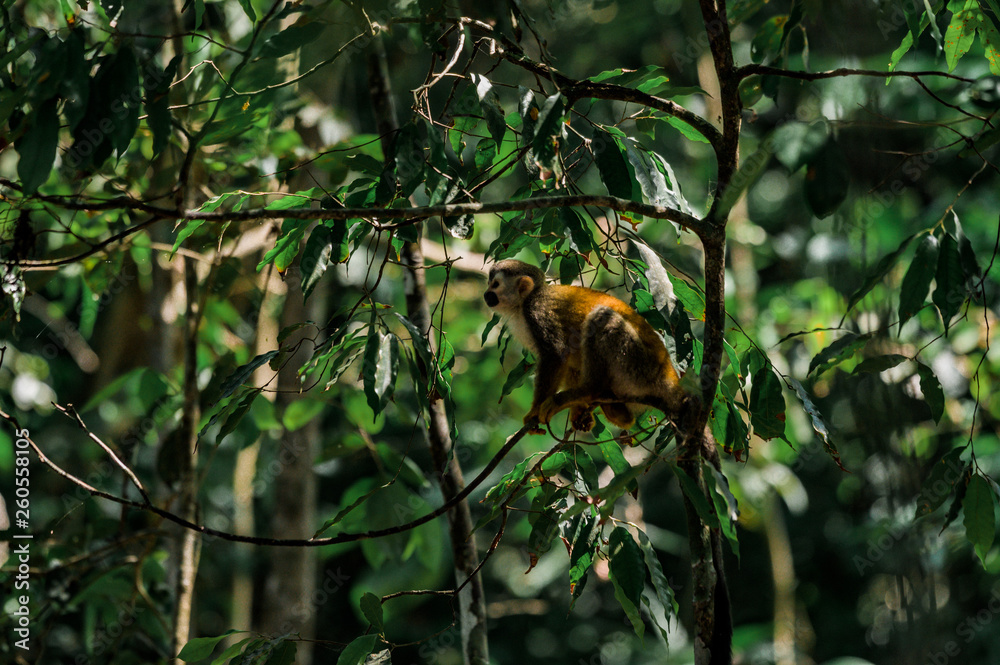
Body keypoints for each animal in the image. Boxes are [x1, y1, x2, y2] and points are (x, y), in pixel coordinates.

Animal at [483, 259, 686, 433]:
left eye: (496, 285)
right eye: (489, 283)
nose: (486, 294)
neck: (524, 301)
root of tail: (669, 376)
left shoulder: (536, 311)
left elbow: (556, 354)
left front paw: (535, 410)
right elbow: (571, 363)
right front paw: (578, 411)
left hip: (638, 363)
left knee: (601, 317)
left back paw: (590, 390)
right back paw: (618, 413)